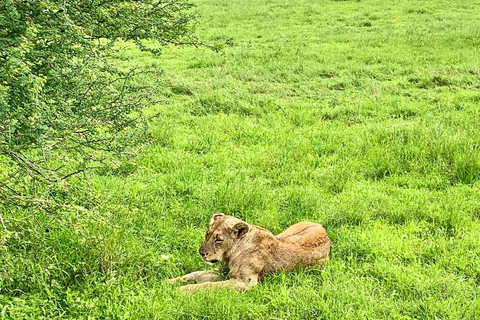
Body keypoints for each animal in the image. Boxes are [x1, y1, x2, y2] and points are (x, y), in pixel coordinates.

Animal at [168, 214, 330, 292]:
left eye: (218, 239)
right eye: (207, 234)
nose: (201, 253)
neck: (229, 253)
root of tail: (323, 229)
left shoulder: (245, 282)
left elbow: (210, 286)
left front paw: (181, 291)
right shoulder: (222, 271)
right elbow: (194, 275)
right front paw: (168, 282)